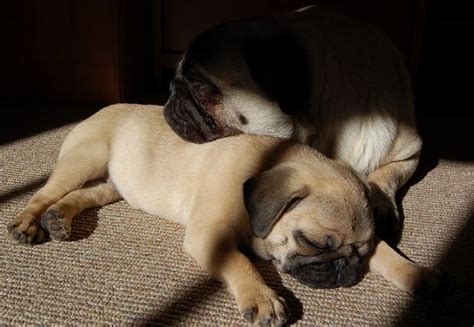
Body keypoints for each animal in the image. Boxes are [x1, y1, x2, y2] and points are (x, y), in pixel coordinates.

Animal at [7, 104, 438, 326]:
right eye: (311, 241)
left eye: (359, 253)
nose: (343, 269)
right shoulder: (209, 236)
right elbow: (238, 262)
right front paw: (262, 298)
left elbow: (388, 254)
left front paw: (417, 274)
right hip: (85, 158)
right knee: (45, 192)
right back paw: (30, 221)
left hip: (115, 183)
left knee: (84, 195)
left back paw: (59, 217)